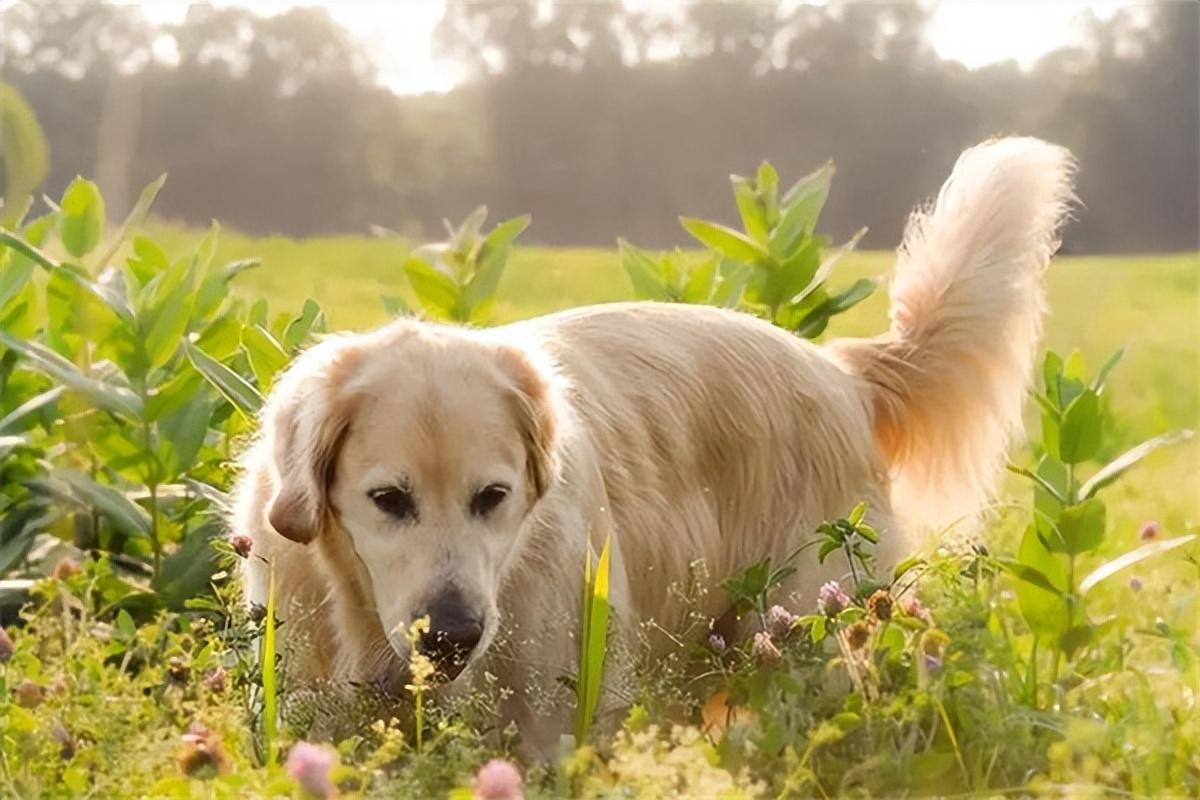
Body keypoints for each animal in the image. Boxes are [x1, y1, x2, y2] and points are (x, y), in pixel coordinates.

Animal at [229, 137, 1075, 753]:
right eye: (388, 499)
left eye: (493, 498)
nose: (454, 635)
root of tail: (840, 370)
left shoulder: (556, 719)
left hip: (814, 639)